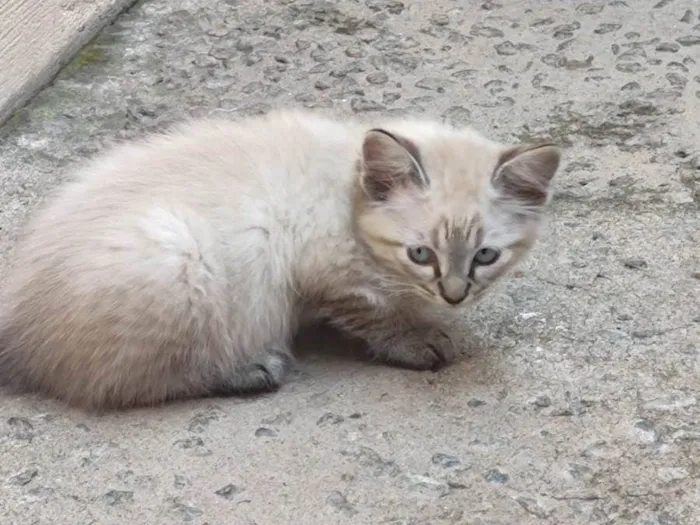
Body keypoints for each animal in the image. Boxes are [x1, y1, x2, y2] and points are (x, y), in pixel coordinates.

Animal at [0, 108, 560, 408]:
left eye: (485, 255)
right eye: (421, 253)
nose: (454, 295)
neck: (347, 189)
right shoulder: (323, 272)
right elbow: (373, 312)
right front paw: (417, 338)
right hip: (180, 258)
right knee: (129, 382)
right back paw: (252, 369)